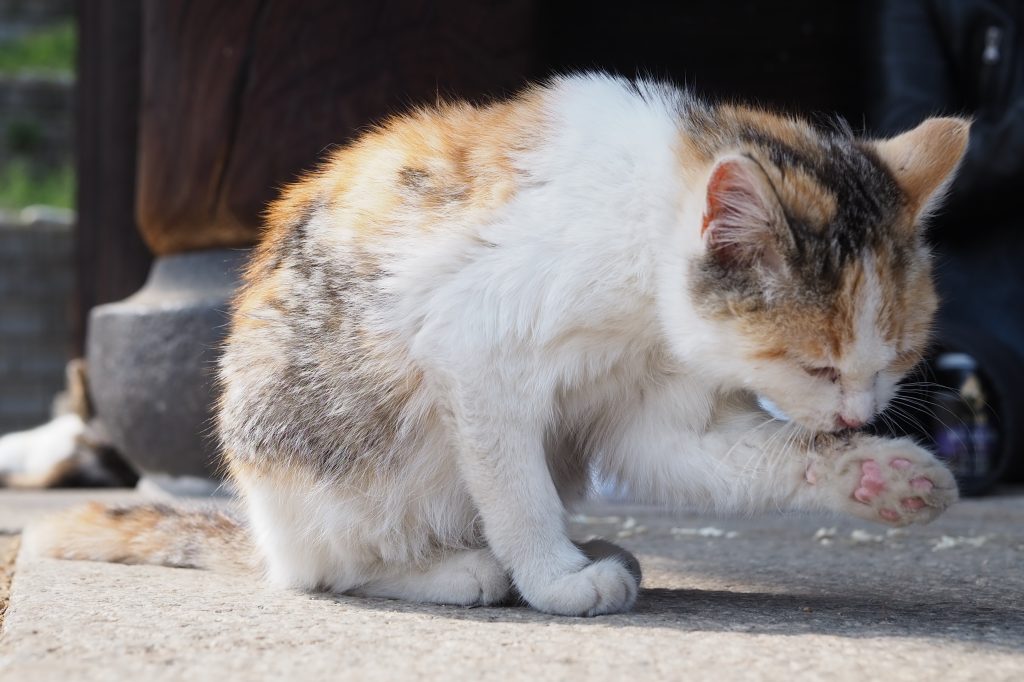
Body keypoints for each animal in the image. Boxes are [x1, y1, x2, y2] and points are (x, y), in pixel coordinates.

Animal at [25, 73, 968, 616]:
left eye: (892, 365)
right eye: (815, 364)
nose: (858, 416)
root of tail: (260, 522)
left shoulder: (657, 416)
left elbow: (733, 454)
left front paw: (880, 477)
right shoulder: (475, 349)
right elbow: (515, 489)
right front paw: (552, 575)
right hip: (329, 443)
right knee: (318, 570)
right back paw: (459, 571)